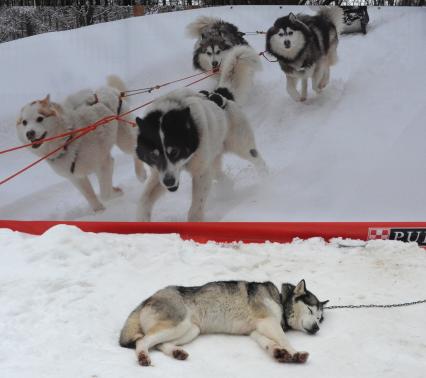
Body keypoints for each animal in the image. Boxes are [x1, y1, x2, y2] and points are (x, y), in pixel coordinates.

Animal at [120, 280, 330, 364]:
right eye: (311, 310)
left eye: (319, 317)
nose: (317, 328)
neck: (279, 299)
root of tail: (148, 298)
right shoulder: (268, 321)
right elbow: (285, 340)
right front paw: (295, 353)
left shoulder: (256, 330)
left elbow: (268, 343)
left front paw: (278, 353)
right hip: (178, 324)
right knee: (143, 341)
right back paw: (143, 357)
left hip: (190, 330)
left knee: (158, 344)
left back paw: (176, 352)